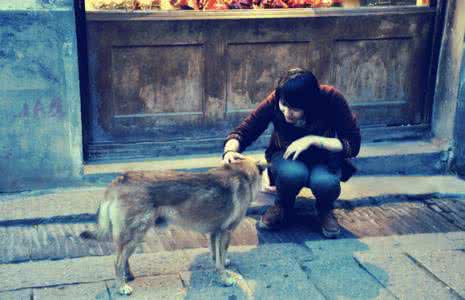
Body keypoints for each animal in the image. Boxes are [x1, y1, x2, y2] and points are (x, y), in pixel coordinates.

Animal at [80, 157, 264, 296]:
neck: (243, 173)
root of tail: (120, 180)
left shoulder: (214, 233)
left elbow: (215, 256)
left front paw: (221, 265)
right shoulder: (225, 232)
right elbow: (219, 260)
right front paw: (224, 278)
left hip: (134, 236)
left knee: (123, 258)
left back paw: (128, 276)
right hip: (135, 234)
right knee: (117, 262)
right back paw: (121, 286)